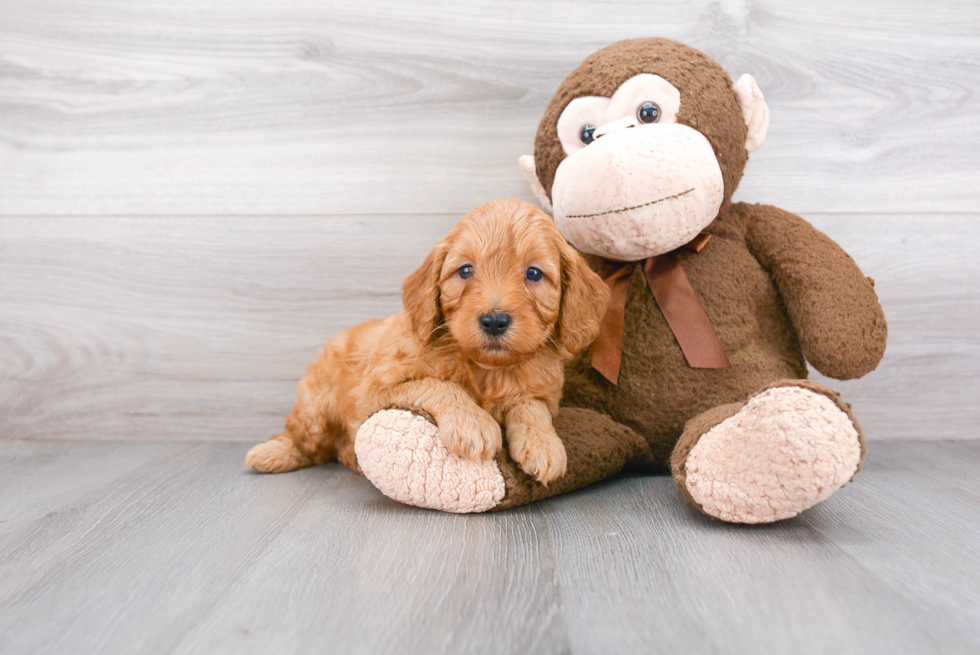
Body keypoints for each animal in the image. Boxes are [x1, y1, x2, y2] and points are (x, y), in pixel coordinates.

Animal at [245, 197, 608, 484]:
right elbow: (440, 384)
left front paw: (544, 444)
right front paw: (473, 423)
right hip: (316, 404)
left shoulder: (541, 392)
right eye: (465, 271)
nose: (494, 320)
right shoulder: (376, 387)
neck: (485, 369)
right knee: (306, 441)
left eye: (534, 274)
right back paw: (273, 453)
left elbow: (531, 407)